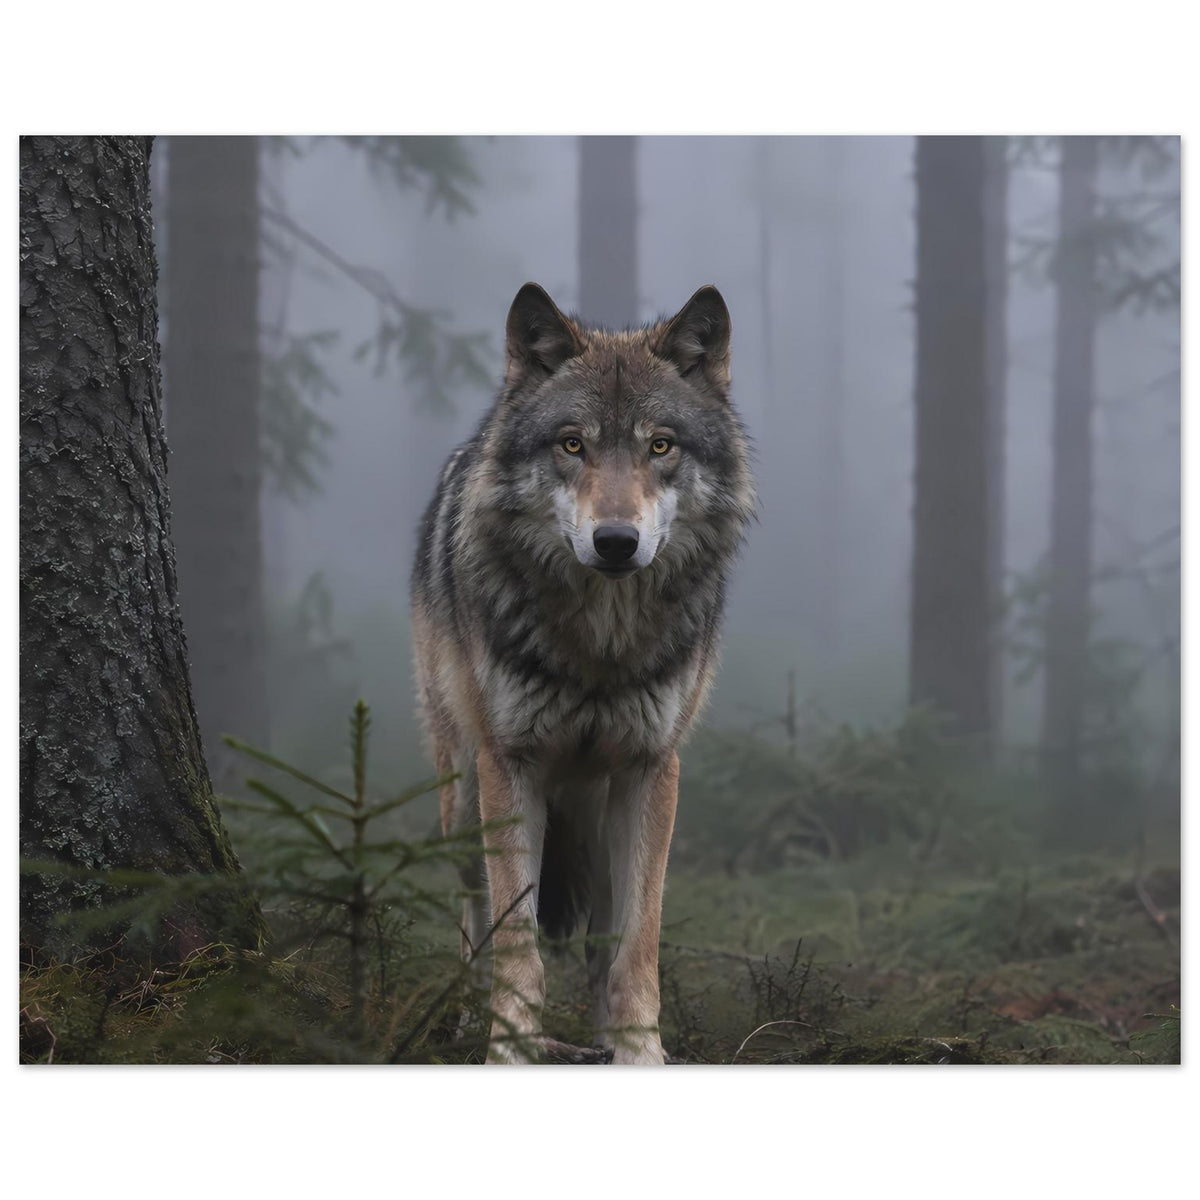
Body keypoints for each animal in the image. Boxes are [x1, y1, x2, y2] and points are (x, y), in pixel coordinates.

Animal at [411, 282, 754, 1063]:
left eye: (660, 445)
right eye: (573, 444)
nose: (616, 541)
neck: (602, 641)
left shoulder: (652, 769)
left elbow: (636, 945)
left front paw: (639, 1052)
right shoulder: (511, 764)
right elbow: (517, 941)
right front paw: (509, 1049)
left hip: (595, 817)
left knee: (600, 938)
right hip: (461, 794)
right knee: (472, 914)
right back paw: (469, 1018)